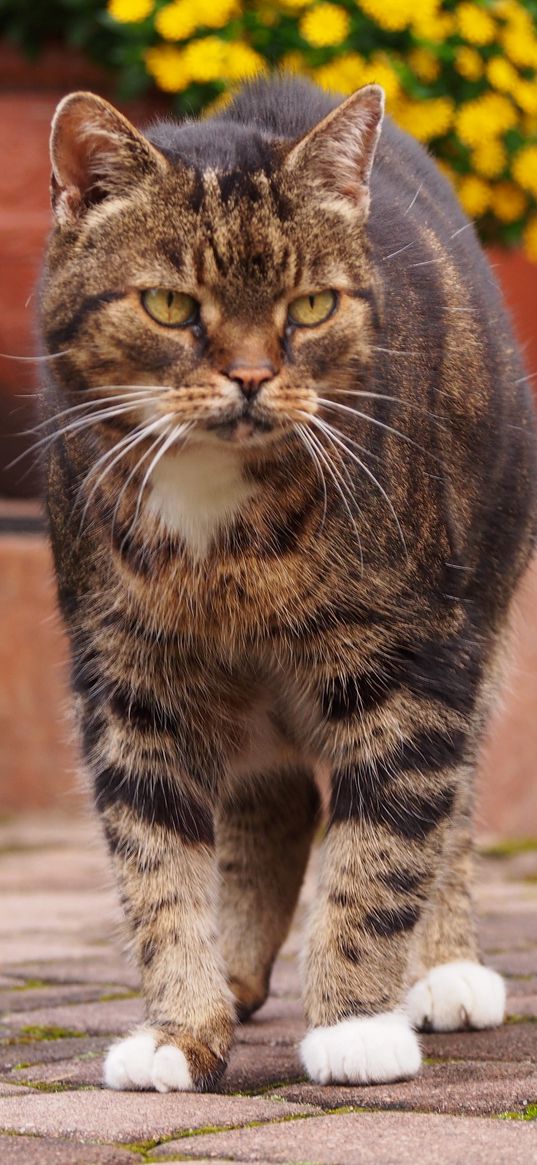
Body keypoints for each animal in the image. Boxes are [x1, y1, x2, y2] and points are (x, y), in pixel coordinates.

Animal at [41, 75, 535, 1090]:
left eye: (308, 306)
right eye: (168, 304)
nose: (251, 377)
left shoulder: (412, 661)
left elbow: (385, 843)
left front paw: (354, 1024)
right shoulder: (131, 677)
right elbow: (156, 861)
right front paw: (180, 1027)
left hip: (483, 615)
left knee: (451, 801)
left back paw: (444, 970)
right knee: (274, 801)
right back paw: (235, 976)